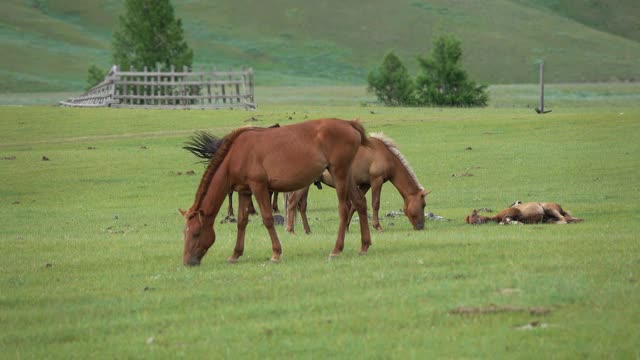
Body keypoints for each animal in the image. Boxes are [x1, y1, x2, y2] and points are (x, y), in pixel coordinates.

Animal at [179, 119, 370, 266]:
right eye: (185, 233)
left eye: (196, 233)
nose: (188, 262)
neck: (237, 154)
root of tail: (348, 123)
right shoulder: (244, 192)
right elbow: (241, 222)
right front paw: (235, 254)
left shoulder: (259, 187)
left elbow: (268, 219)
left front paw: (276, 253)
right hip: (346, 174)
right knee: (360, 202)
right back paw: (364, 246)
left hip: (339, 174)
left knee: (344, 208)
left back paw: (336, 249)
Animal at [286, 132, 430, 233]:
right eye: (423, 205)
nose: (421, 226)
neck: (386, 155)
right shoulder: (376, 181)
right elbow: (375, 203)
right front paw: (377, 226)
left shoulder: (365, 184)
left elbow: (354, 206)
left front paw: (346, 227)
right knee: (292, 202)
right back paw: (290, 230)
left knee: (302, 206)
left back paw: (307, 230)